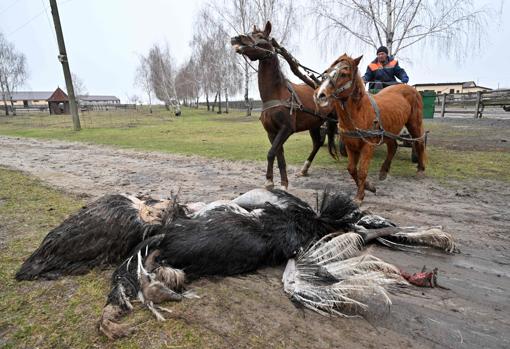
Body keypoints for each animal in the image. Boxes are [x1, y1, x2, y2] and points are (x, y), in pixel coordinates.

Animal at [229, 21, 336, 190]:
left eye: (260, 36)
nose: (236, 38)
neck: (276, 94)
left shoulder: (286, 129)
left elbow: (271, 152)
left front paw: (271, 182)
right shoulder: (272, 132)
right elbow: (279, 156)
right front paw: (280, 183)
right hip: (315, 124)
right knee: (317, 143)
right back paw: (304, 169)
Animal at [314, 53, 426, 203]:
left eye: (343, 74)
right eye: (326, 72)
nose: (320, 95)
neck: (360, 112)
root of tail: (411, 89)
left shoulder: (368, 146)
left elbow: (362, 171)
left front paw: (359, 196)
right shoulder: (350, 146)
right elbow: (351, 169)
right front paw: (369, 187)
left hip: (414, 124)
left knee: (419, 142)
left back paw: (421, 168)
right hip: (389, 130)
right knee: (393, 146)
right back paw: (384, 171)